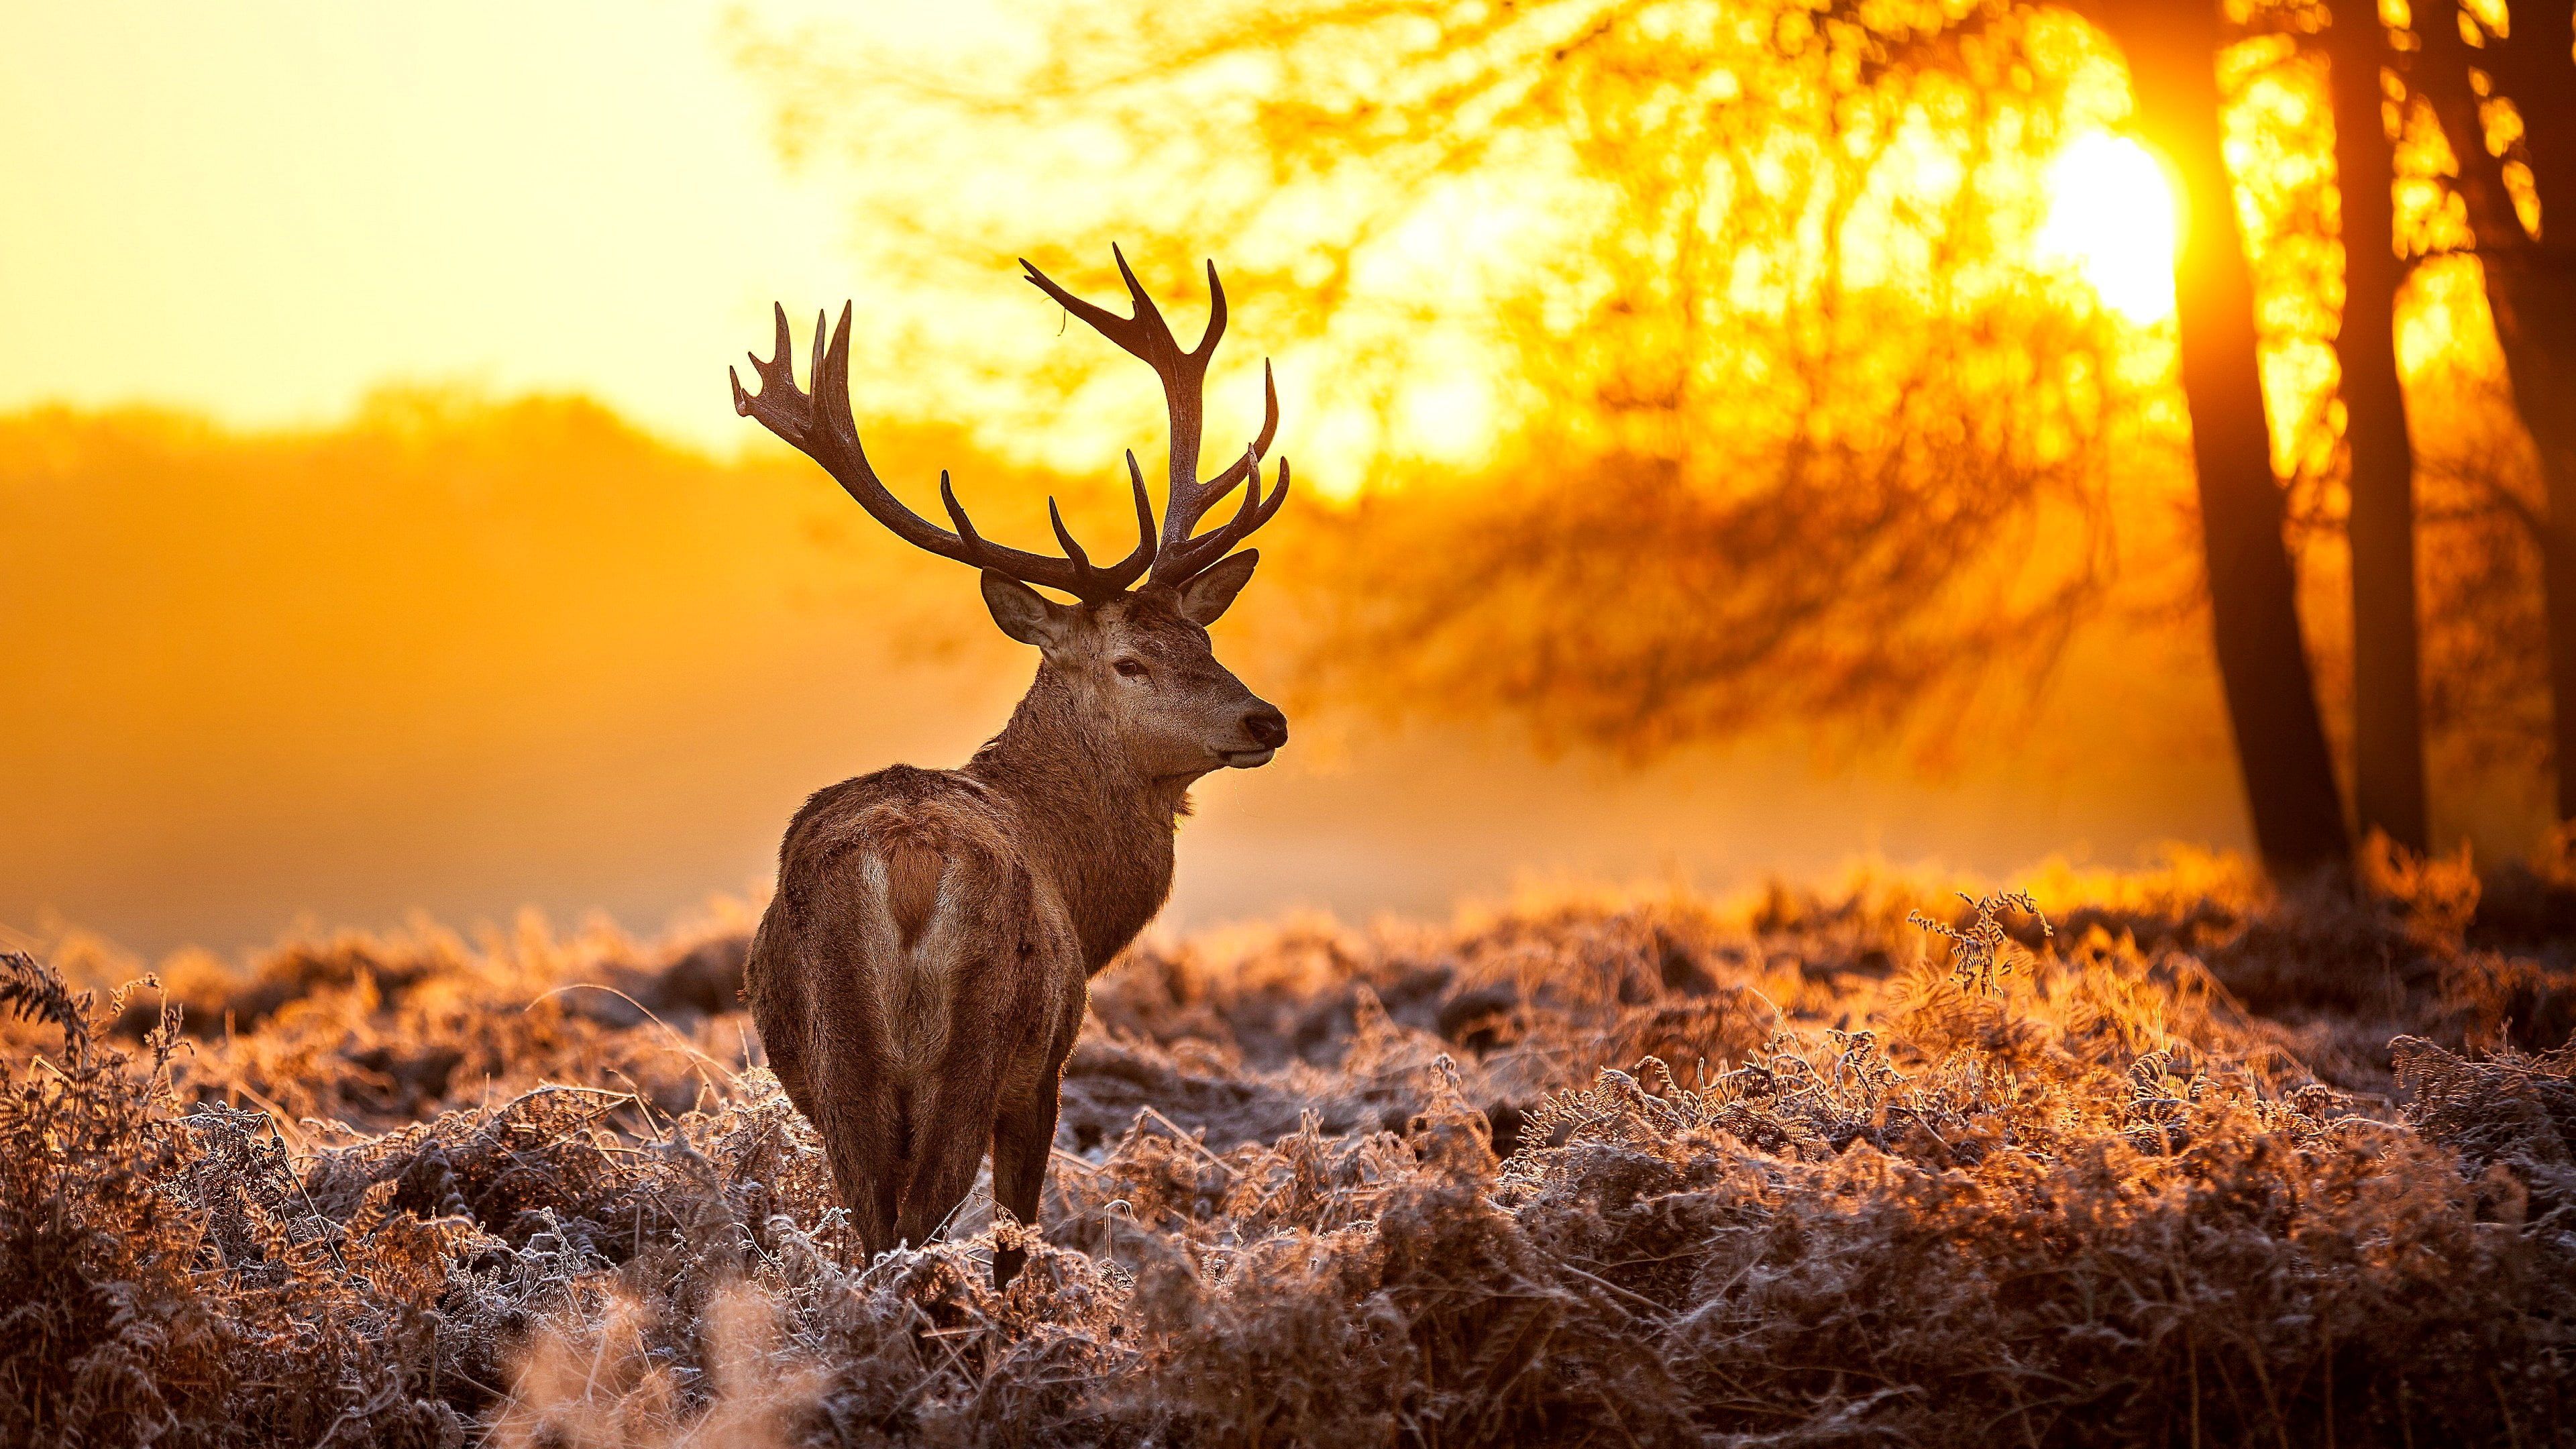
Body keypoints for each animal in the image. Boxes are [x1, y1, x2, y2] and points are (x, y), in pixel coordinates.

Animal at [726, 251, 1288, 1284]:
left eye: (1203, 637)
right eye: (1130, 661)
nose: (1264, 717)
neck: (1082, 883)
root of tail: (906, 868)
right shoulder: (1049, 1065)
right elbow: (1017, 1234)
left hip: (837, 1059)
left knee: (874, 1224)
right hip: (979, 1045)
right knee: (921, 1221)